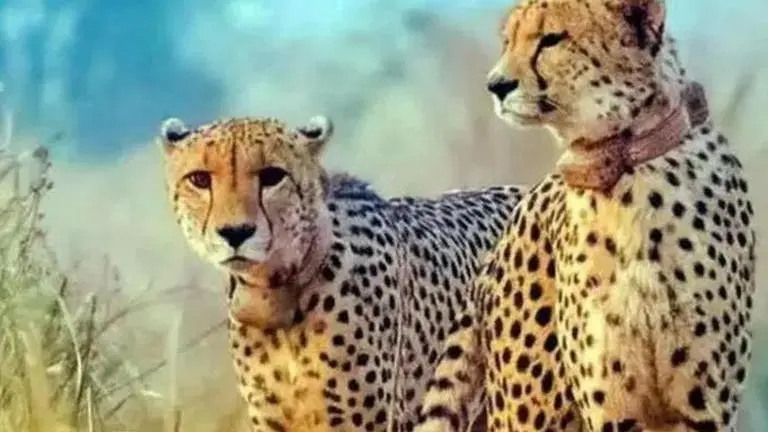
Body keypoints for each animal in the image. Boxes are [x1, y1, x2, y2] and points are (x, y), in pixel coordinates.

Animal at [414, 0, 756, 431]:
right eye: (508, 41)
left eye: (551, 39)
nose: (496, 85)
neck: (626, 168)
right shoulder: (611, 411)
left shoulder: (704, 408)